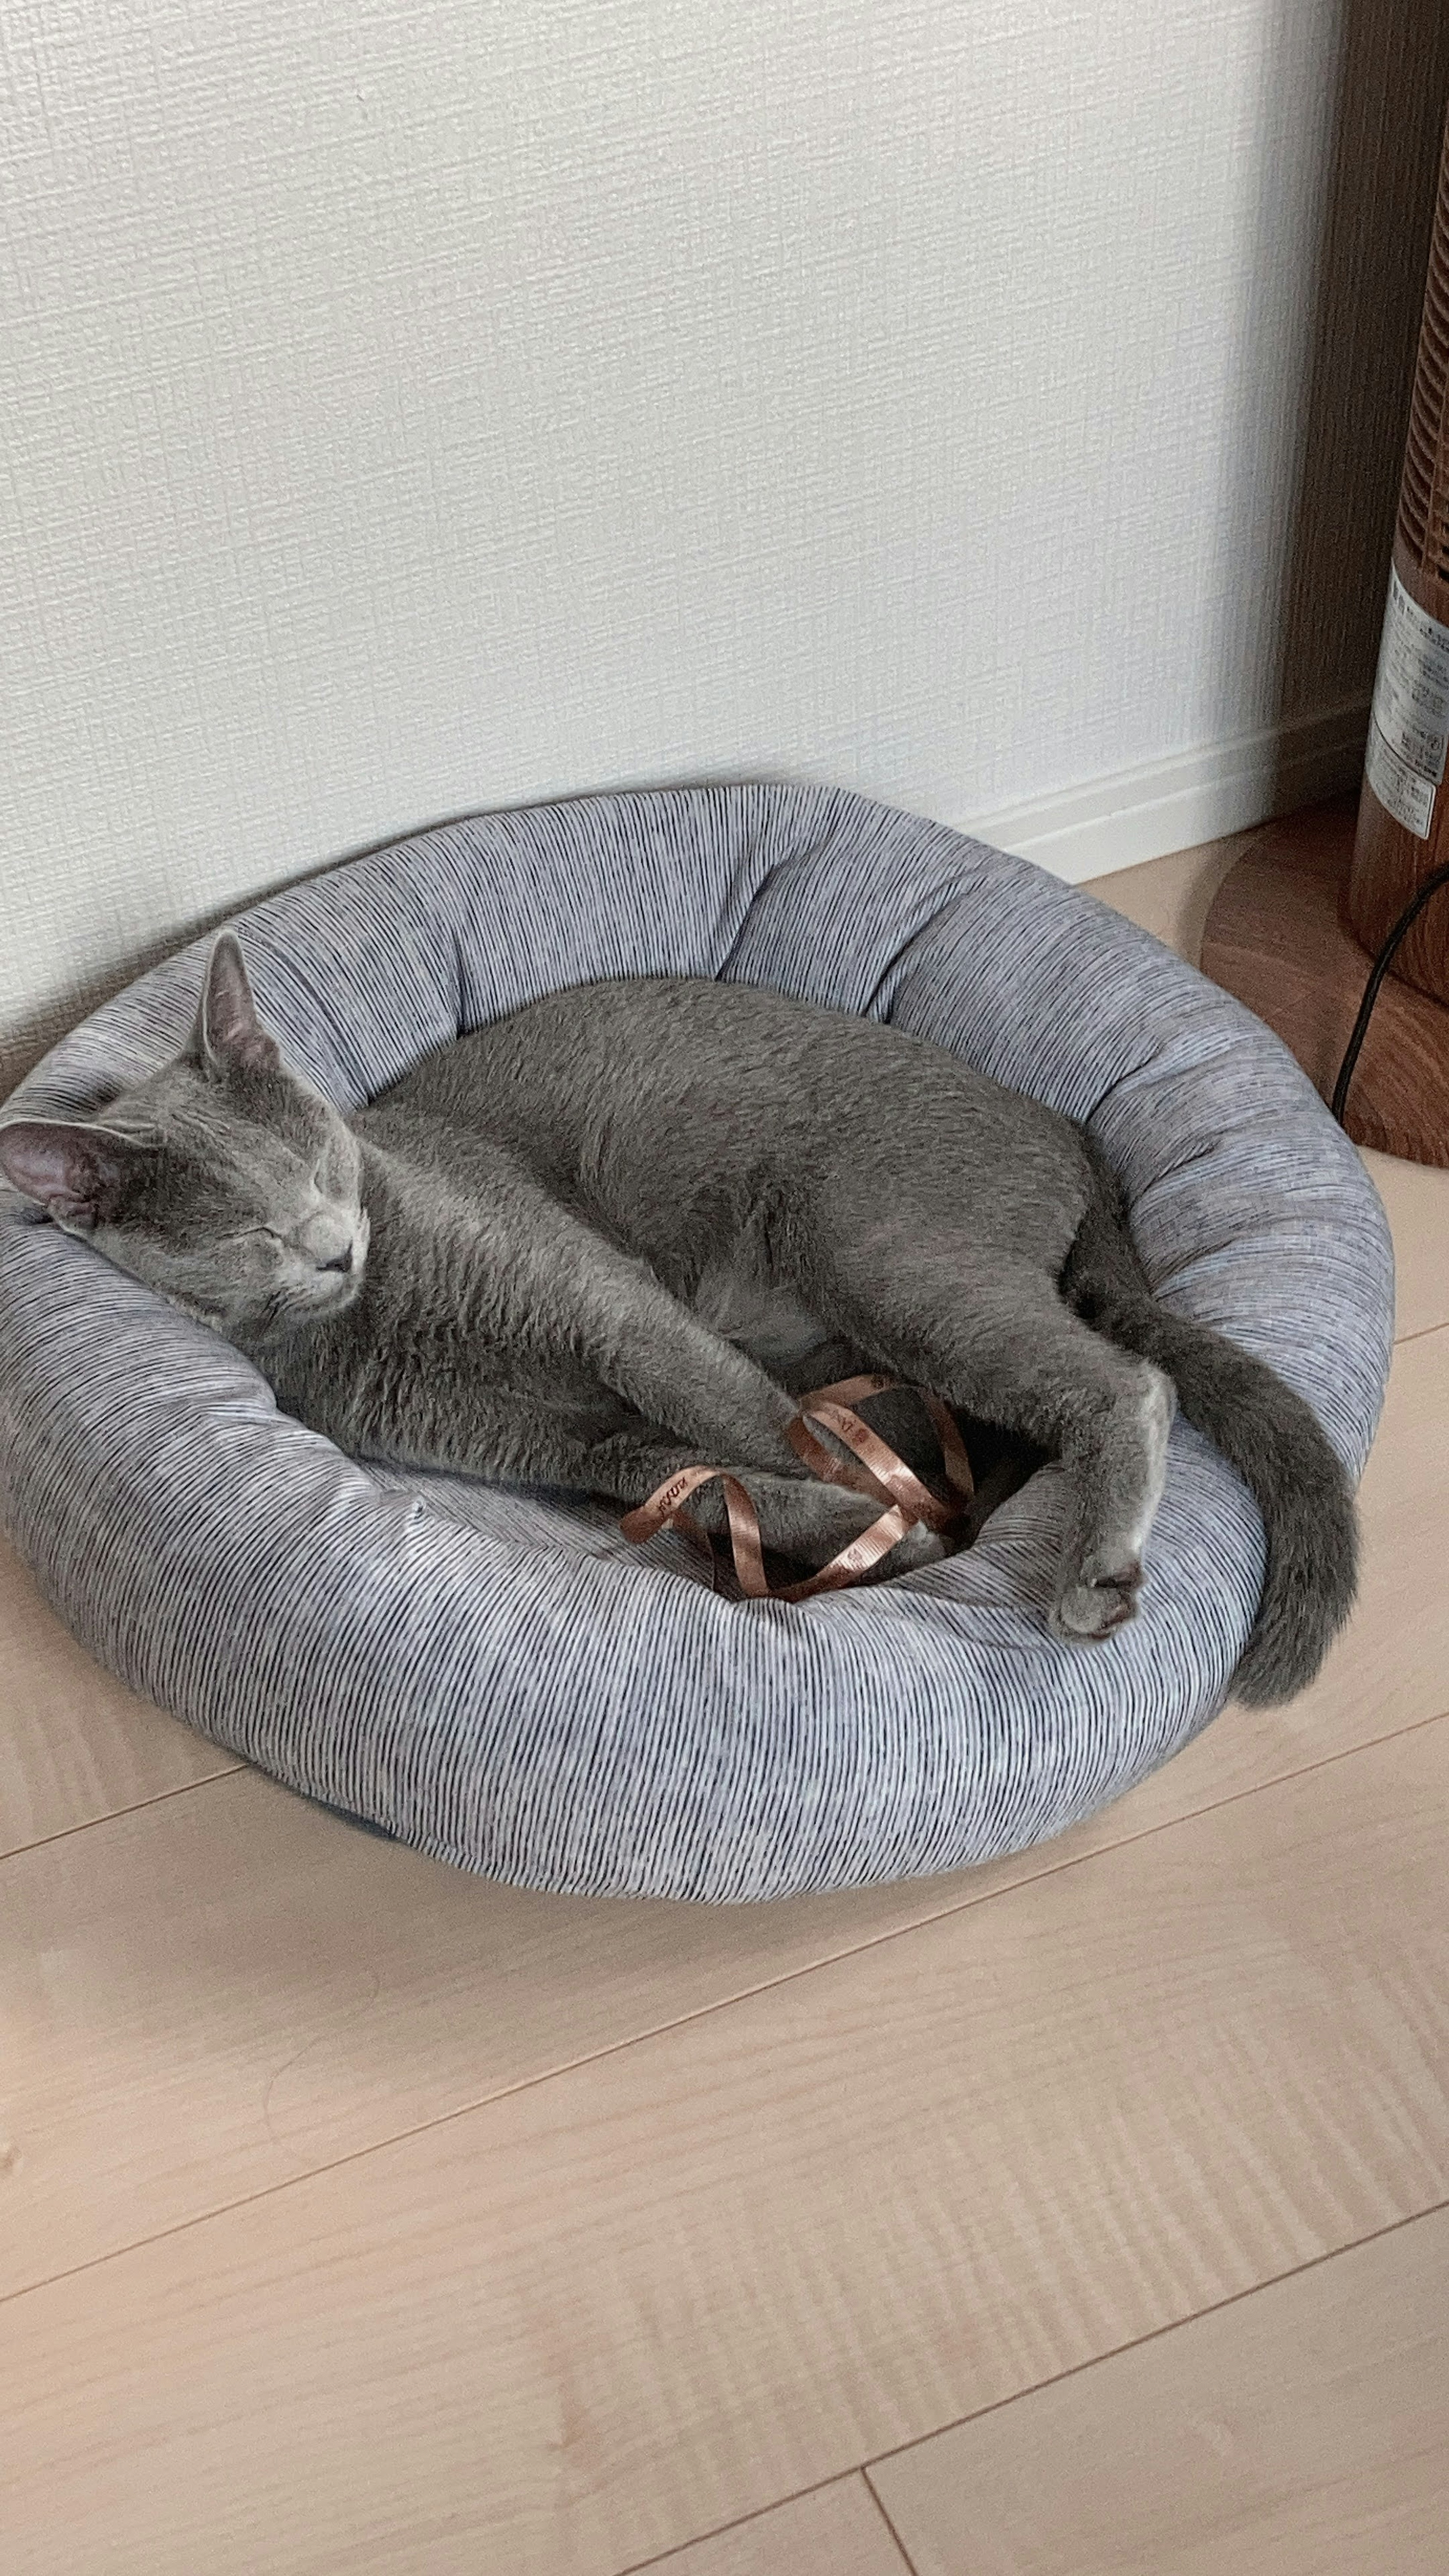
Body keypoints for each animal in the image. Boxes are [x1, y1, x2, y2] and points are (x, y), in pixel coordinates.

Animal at [0, 938, 1351, 1700]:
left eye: (321, 1159)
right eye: (245, 1227)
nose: (336, 1244)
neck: (391, 1314)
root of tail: (1068, 1133)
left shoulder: (616, 1310)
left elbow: (754, 1426)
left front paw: (889, 1526)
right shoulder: (580, 1446)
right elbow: (702, 1479)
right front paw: (863, 1534)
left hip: (877, 1249)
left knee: (1127, 1380)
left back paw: (1092, 1565)